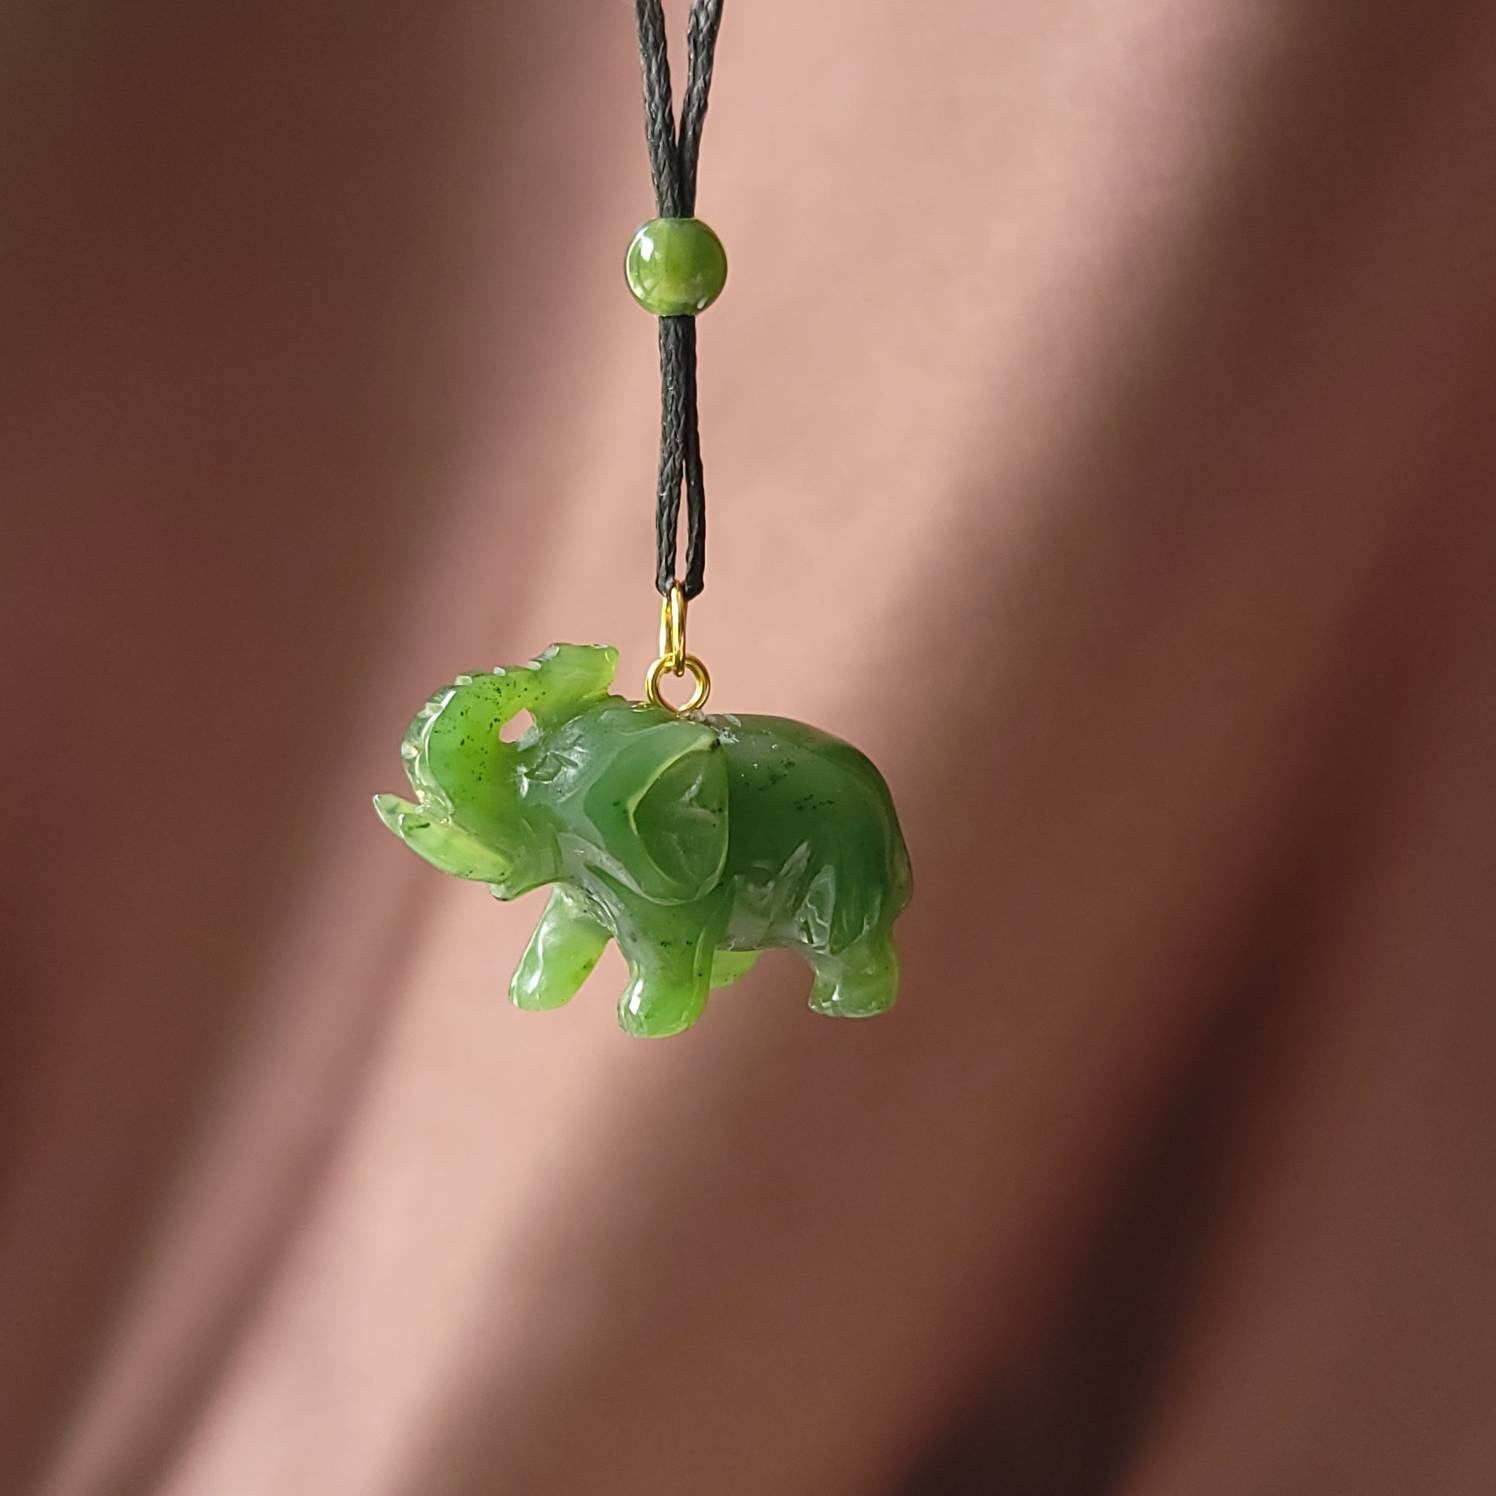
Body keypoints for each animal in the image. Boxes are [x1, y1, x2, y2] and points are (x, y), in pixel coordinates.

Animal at [373, 643, 911, 1037]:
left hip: (840, 880)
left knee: (842, 949)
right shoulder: (591, 880)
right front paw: (527, 998)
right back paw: (725, 978)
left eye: (546, 770)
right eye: (530, 742)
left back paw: (842, 1008)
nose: (590, 653)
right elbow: (562, 927)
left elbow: (660, 955)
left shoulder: (660, 899)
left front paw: (640, 1023)